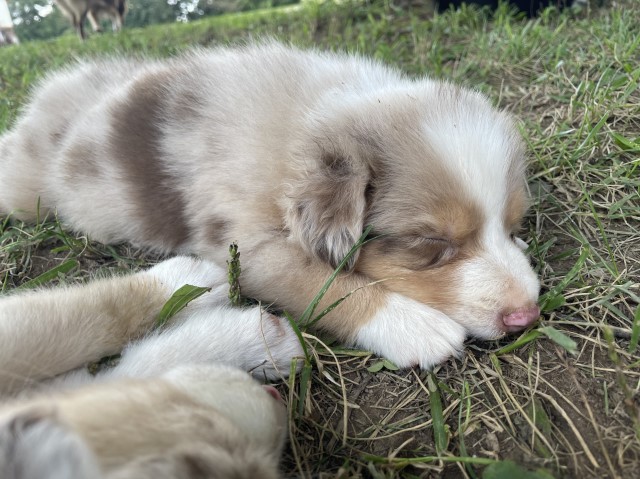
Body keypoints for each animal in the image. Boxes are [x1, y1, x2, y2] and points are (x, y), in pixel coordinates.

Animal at [0, 41, 540, 372]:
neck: (303, 130)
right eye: (430, 242)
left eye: (515, 225)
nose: (527, 317)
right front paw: (417, 328)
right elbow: (322, 282)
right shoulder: (245, 249)